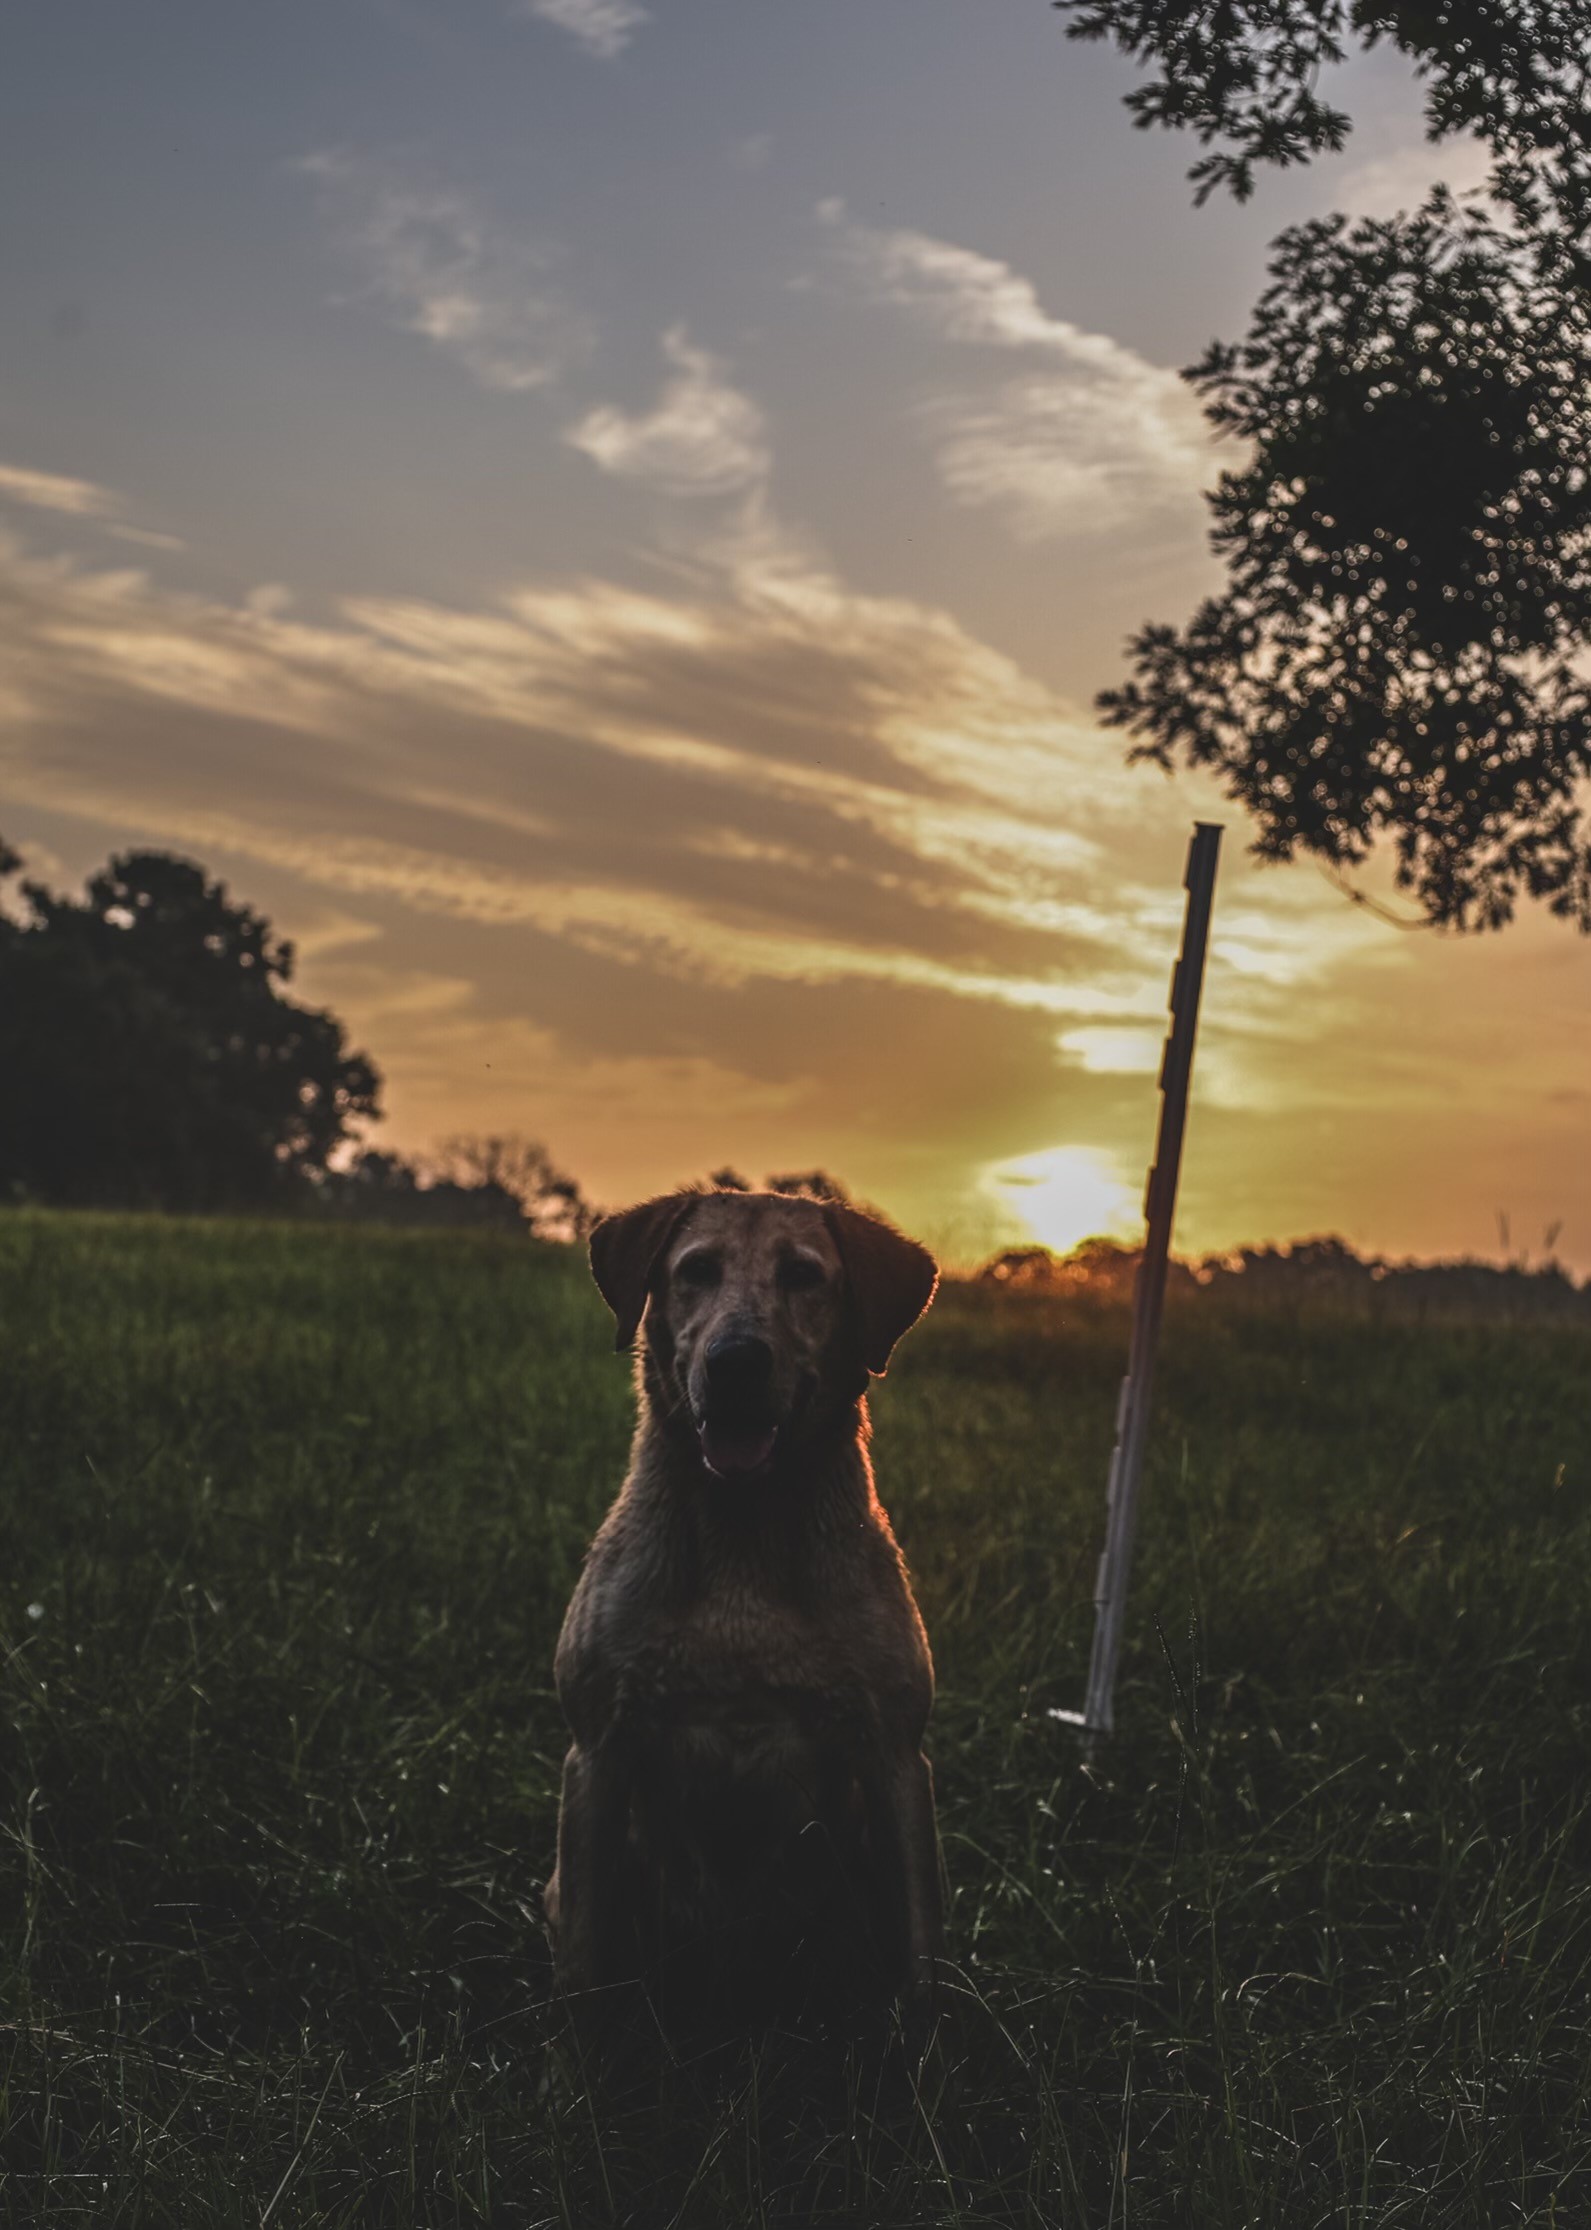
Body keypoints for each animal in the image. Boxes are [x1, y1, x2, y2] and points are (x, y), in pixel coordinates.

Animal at [546, 1195, 941, 2033]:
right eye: (696, 1269)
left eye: (803, 1275)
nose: (734, 1363)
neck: (744, 1535)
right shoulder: (596, 1753)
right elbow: (581, 1974)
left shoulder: (895, 1760)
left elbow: (921, 1963)